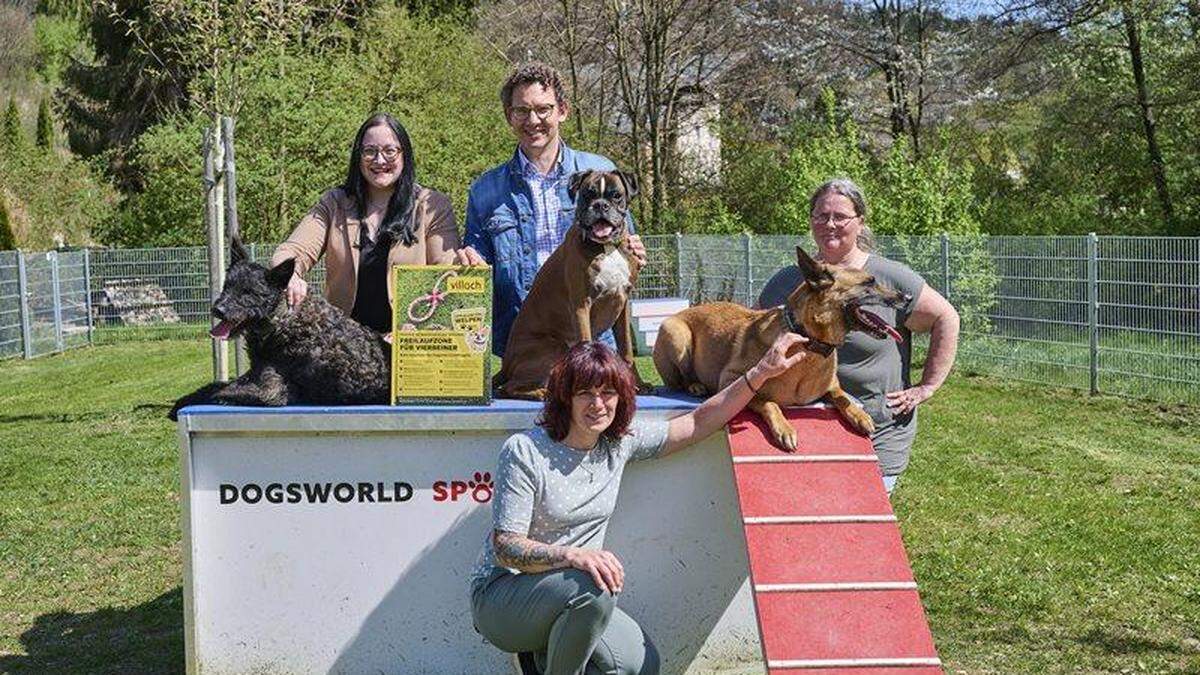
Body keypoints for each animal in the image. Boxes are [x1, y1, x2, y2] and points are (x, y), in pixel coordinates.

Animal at [169, 234, 388, 417]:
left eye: (249, 293)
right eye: (226, 286)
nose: (218, 310)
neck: (279, 322)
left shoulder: (271, 391)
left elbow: (221, 390)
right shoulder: (255, 374)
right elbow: (215, 385)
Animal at [494, 169, 652, 398]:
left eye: (616, 195)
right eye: (587, 194)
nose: (600, 205)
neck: (607, 248)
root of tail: (505, 365)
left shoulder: (622, 305)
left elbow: (627, 350)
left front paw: (637, 383)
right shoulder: (581, 305)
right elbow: (586, 342)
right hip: (555, 348)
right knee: (508, 388)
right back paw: (542, 392)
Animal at [657, 246, 907, 446]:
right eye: (869, 282)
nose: (907, 297)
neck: (808, 341)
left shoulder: (832, 386)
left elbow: (841, 396)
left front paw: (860, 415)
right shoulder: (730, 380)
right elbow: (768, 402)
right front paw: (784, 428)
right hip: (677, 334)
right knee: (680, 379)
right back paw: (695, 385)